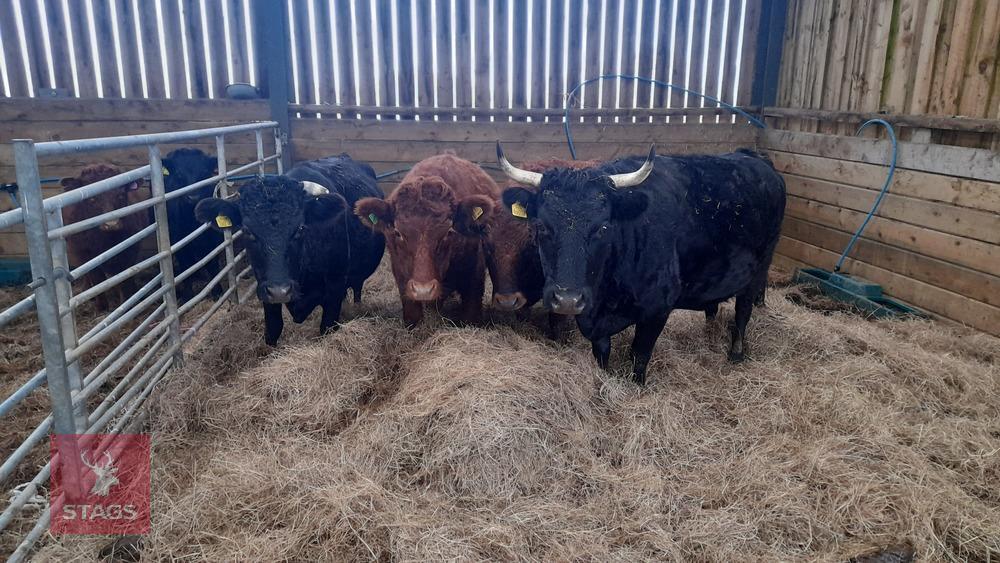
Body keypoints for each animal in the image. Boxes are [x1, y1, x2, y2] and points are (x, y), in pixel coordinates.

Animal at [62, 164, 149, 312]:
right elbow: (97, 279)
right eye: (92, 198)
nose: (111, 224)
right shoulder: (87, 255)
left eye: (121, 195)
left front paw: (128, 300)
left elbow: (125, 277)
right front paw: (101, 306)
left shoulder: (130, 250)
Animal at [161, 148, 221, 302]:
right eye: (178, 174)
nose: (193, 197)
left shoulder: (213, 239)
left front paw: (217, 291)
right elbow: (185, 268)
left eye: (204, 171)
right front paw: (187, 295)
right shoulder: (178, 243)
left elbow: (213, 264)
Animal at [195, 155, 385, 346]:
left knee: (357, 288)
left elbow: (327, 327)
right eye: (247, 231)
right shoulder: (264, 287)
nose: (280, 291)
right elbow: (273, 330)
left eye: (300, 228)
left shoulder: (335, 287)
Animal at [355, 154, 498, 328]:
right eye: (398, 233)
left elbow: (471, 315)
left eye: (448, 232)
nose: (423, 290)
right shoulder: (401, 276)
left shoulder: (474, 274)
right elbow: (413, 316)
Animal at [498, 144, 786, 385]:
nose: (567, 300)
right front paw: (604, 383)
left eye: (604, 227)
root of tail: (753, 156)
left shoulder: (657, 311)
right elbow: (601, 353)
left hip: (758, 271)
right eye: (540, 226)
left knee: (743, 312)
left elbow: (640, 354)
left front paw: (637, 386)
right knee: (712, 308)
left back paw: (736, 353)